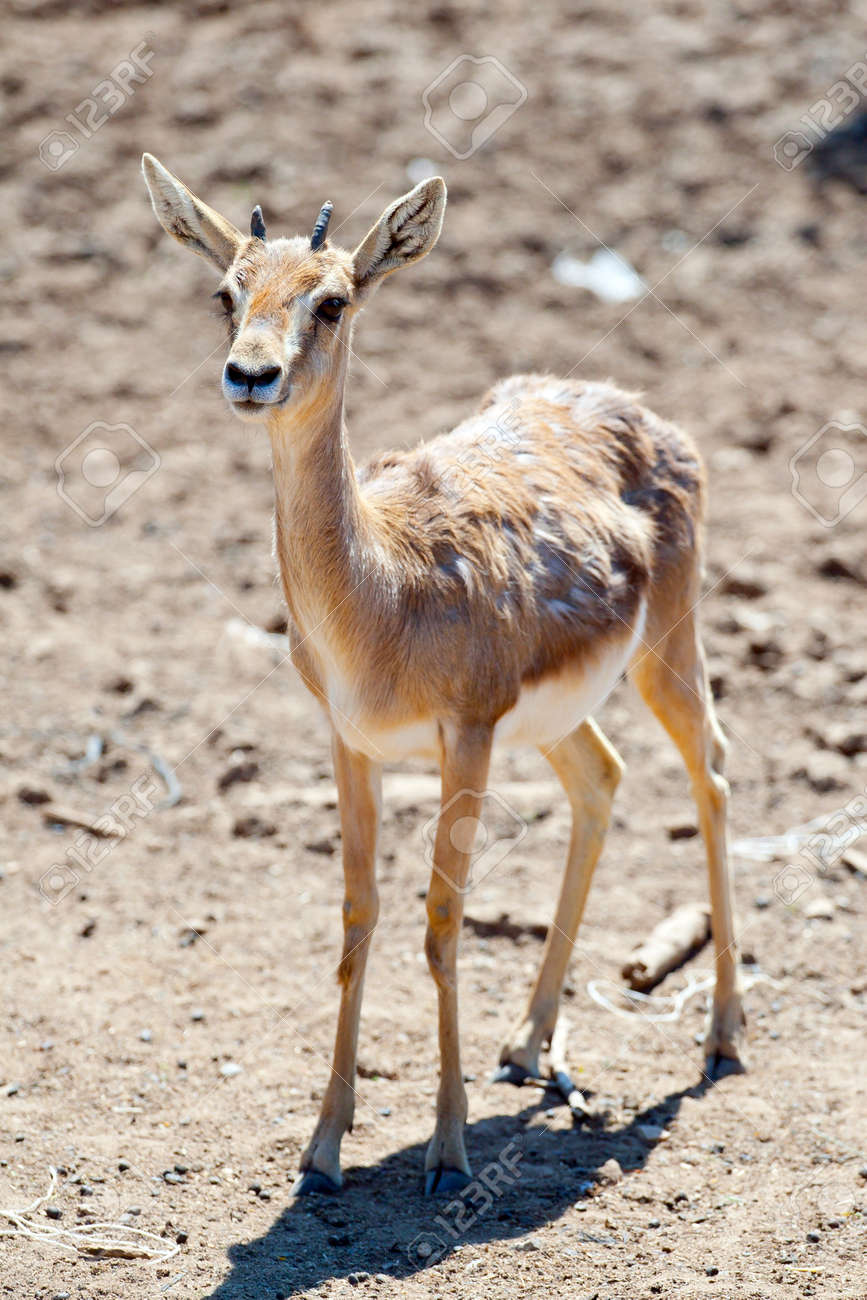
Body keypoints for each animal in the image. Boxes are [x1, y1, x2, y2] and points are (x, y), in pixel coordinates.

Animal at [142, 155, 746, 1197]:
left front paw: (448, 1147)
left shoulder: (465, 735)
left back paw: (721, 1035)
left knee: (707, 769)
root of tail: (636, 409)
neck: (382, 591)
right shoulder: (349, 742)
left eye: (333, 299)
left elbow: (440, 922)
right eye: (226, 291)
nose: (251, 375)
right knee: (604, 778)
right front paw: (323, 1146)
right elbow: (357, 919)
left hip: (666, 647)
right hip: (553, 719)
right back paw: (527, 1043)